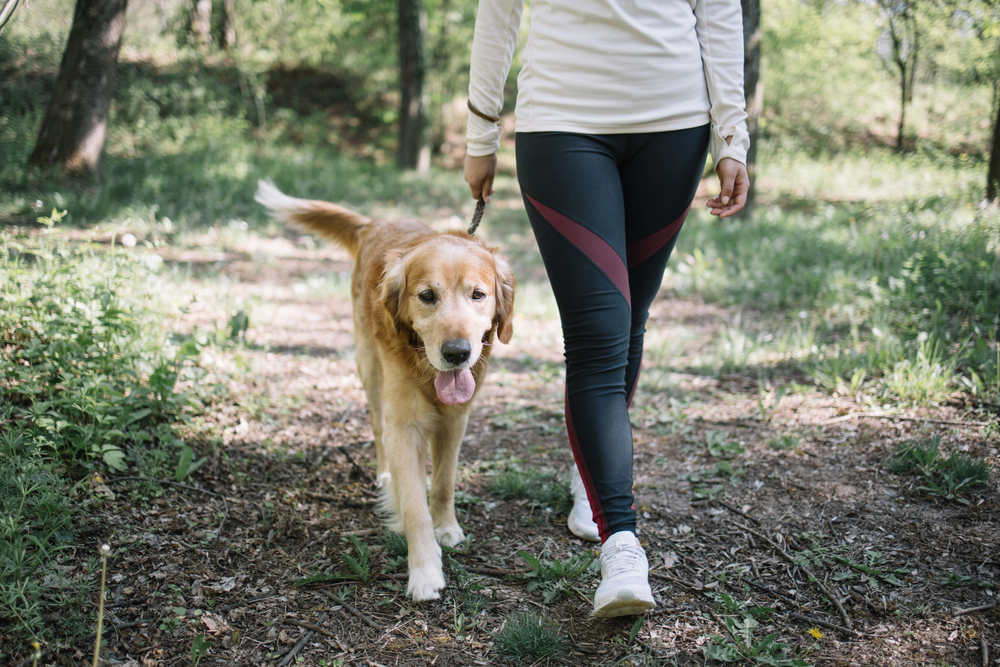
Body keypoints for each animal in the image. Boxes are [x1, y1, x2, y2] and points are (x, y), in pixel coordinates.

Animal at [254, 181, 516, 600]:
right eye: (427, 296)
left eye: (478, 295)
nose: (457, 353)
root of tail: (375, 222)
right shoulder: (403, 426)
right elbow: (413, 505)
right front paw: (424, 570)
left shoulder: (456, 419)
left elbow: (443, 483)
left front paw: (446, 527)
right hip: (369, 369)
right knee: (377, 428)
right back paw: (385, 476)